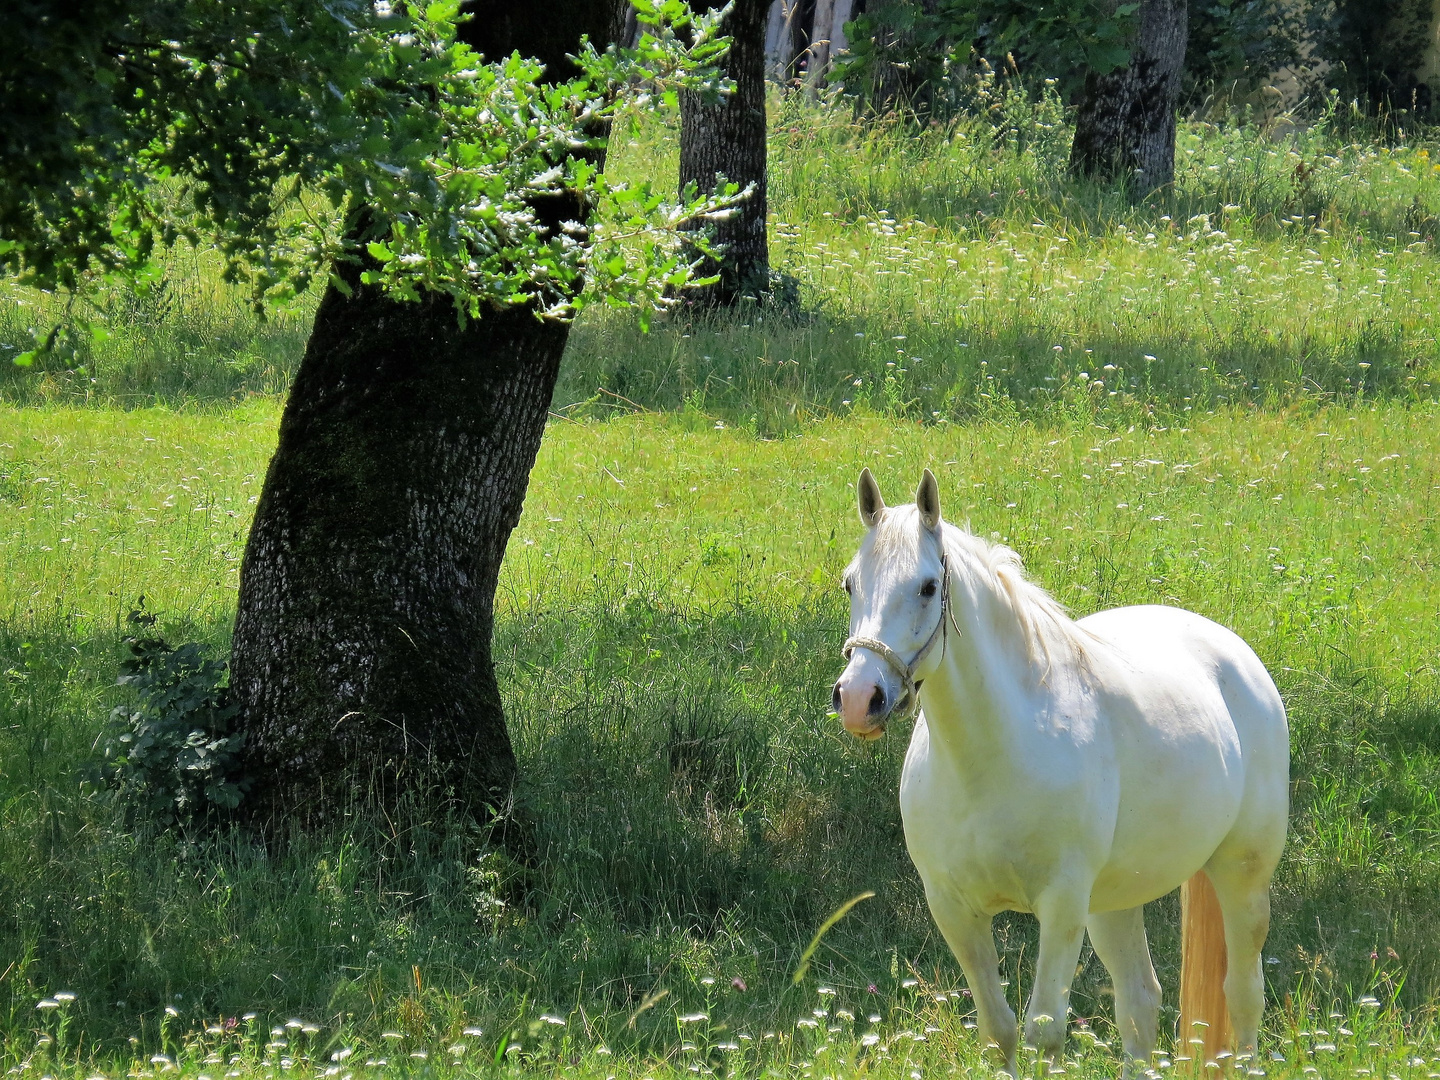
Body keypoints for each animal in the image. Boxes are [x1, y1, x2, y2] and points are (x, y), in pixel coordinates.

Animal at [829, 469, 1290, 1077]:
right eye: (850, 584)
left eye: (928, 586)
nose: (860, 698)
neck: (990, 760)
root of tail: (1233, 653)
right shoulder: (954, 909)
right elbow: (999, 1031)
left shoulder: (1062, 903)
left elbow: (1044, 1032)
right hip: (1115, 902)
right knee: (1140, 1001)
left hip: (1241, 876)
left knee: (1242, 993)